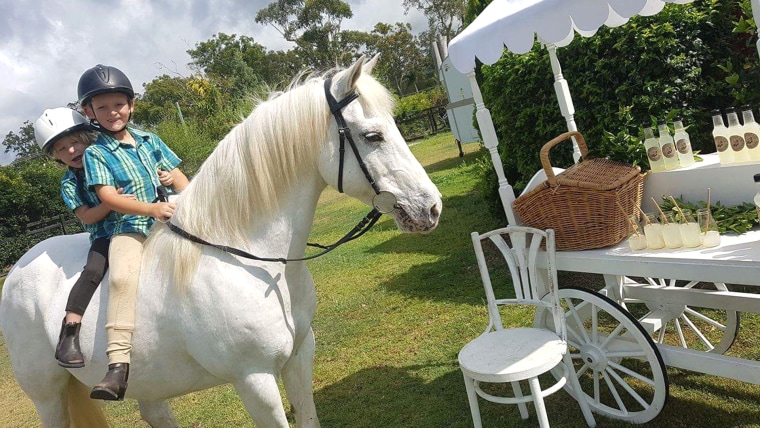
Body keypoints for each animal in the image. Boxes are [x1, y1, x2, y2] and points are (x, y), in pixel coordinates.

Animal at [0, 56, 442, 428]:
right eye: (373, 136)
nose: (431, 207)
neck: (252, 258)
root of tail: (18, 269)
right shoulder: (254, 380)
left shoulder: (301, 356)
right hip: (48, 396)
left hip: (147, 383)